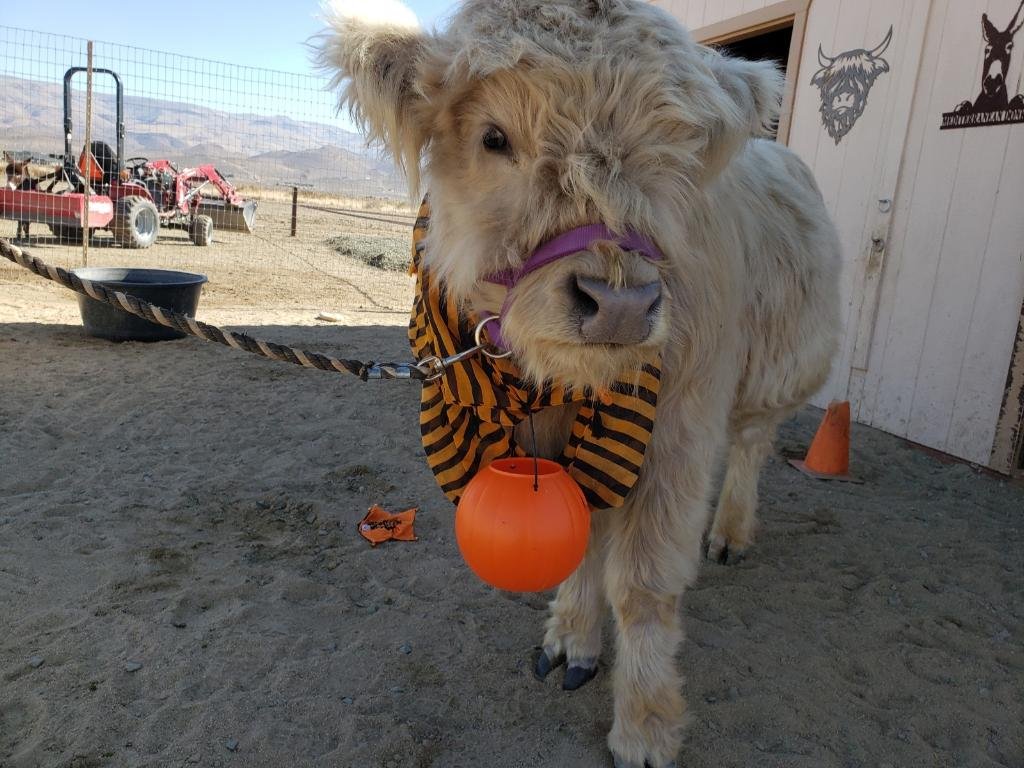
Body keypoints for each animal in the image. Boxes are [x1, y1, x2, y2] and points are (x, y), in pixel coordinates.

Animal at [318, 1, 841, 765]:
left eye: (675, 150)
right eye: (494, 136)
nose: (619, 303)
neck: (561, 387)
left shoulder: (679, 434)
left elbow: (645, 584)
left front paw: (646, 725)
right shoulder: (550, 441)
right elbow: (582, 531)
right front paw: (571, 638)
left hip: (780, 365)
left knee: (752, 443)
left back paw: (730, 533)